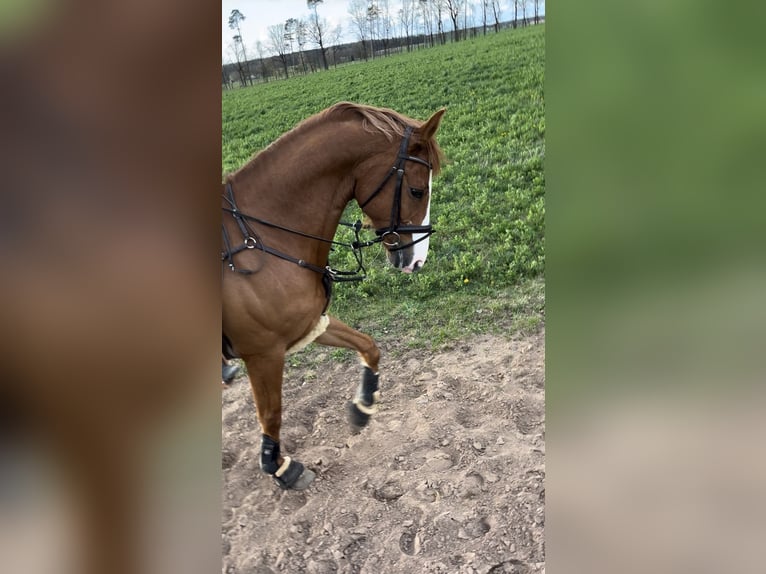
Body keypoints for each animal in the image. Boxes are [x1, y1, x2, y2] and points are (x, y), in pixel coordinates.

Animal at [222, 102, 445, 490]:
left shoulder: (310, 324)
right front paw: (279, 466)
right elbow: (271, 413)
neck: (262, 240)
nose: (417, 260)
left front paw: (363, 406)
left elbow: (369, 346)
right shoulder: (263, 351)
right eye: (417, 190)